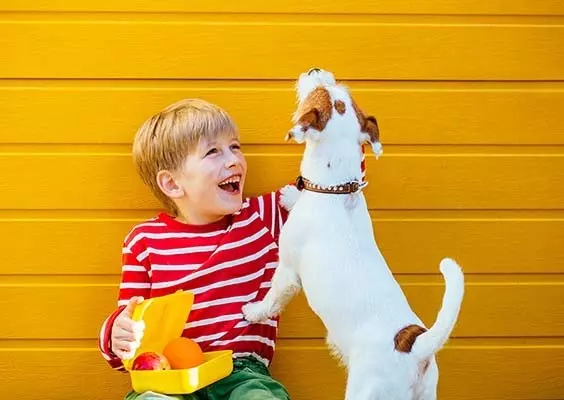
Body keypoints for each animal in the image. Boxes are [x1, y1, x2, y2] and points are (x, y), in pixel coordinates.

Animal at [243, 68, 464, 400]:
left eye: (320, 89)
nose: (316, 70)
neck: (335, 190)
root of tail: (415, 347)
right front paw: (291, 196)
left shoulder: (288, 271)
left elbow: (271, 299)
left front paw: (253, 312)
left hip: (367, 390)